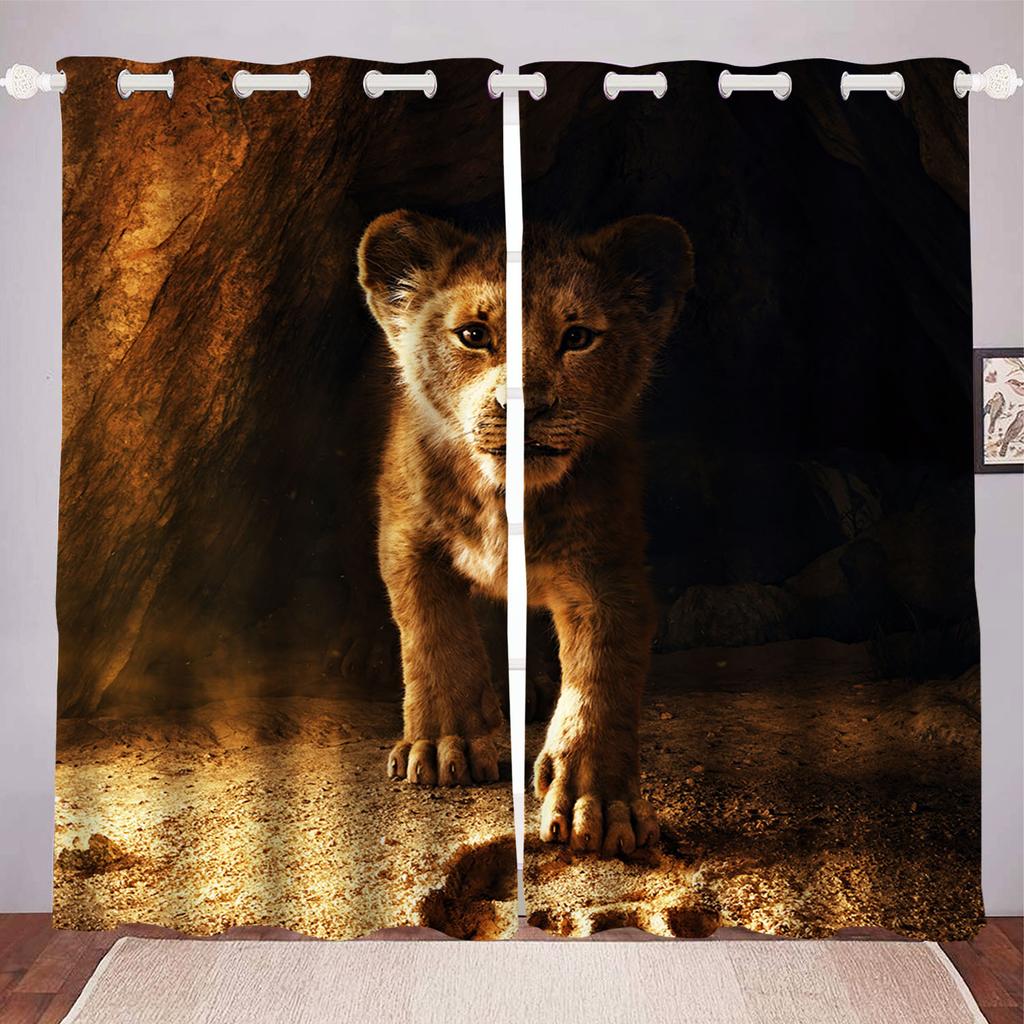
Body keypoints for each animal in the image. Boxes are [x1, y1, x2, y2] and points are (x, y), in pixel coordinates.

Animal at [357, 211, 694, 854]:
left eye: (578, 337)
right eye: (473, 335)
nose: (526, 407)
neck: (503, 500)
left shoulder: (608, 570)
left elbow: (601, 679)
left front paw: (598, 801)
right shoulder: (408, 537)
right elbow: (435, 634)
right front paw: (447, 743)